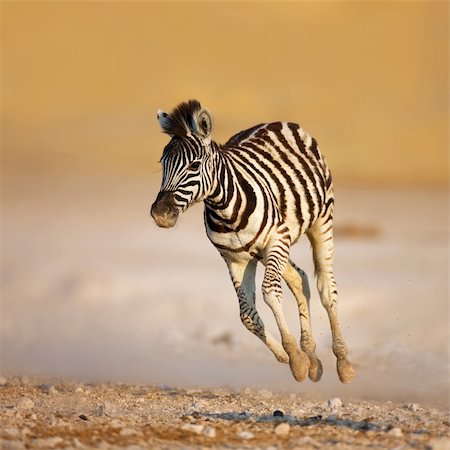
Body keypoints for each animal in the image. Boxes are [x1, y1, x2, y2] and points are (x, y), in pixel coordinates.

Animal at [151, 99, 356, 384]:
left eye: (194, 166)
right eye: (163, 164)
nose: (160, 214)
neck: (225, 210)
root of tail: (278, 122)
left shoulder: (276, 239)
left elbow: (270, 292)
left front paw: (295, 359)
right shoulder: (235, 258)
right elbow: (246, 314)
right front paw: (290, 357)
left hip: (318, 224)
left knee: (326, 289)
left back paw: (343, 362)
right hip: (266, 251)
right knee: (300, 278)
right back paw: (313, 358)